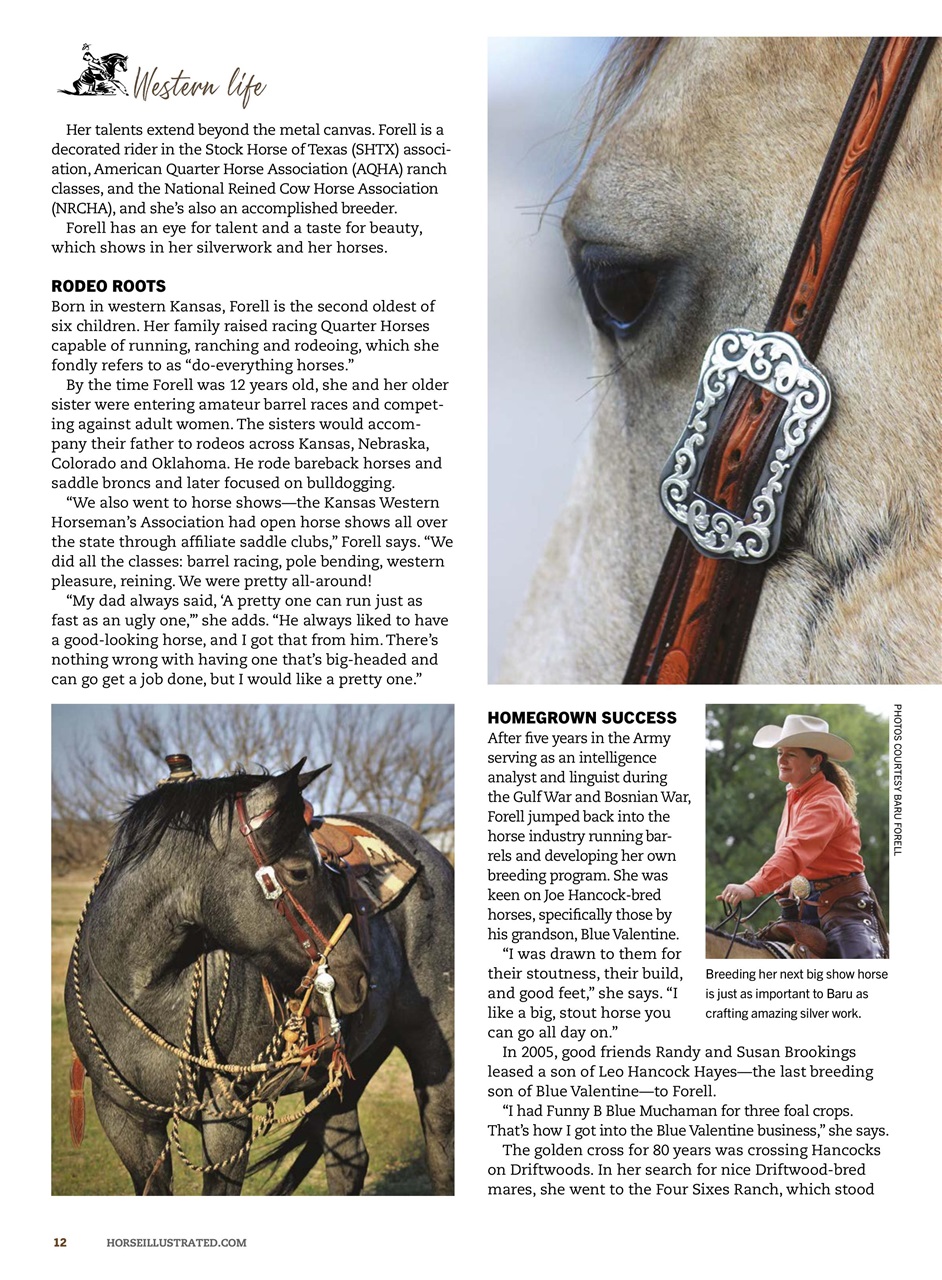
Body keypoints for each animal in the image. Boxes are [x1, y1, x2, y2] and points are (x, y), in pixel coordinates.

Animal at [65, 760, 454, 1195]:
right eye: (299, 871)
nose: (356, 979)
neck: (148, 993)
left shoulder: (226, 1123)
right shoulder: (125, 1121)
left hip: (433, 1051)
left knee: (440, 1155)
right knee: (349, 1160)